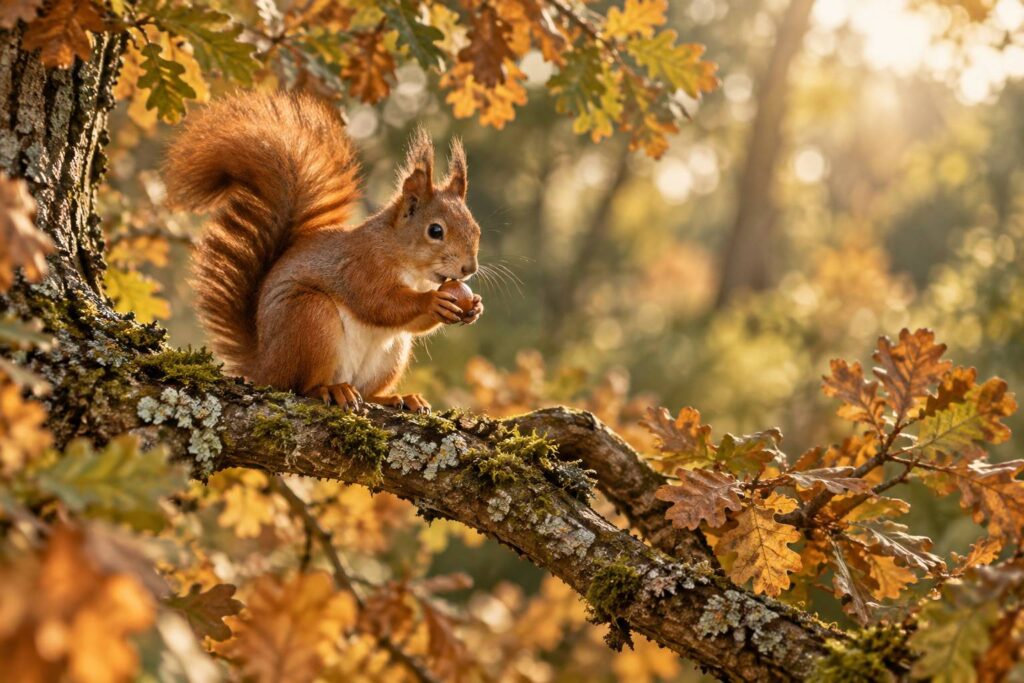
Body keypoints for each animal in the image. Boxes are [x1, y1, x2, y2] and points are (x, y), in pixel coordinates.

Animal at [163, 92, 483, 413]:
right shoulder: (362, 266)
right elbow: (379, 304)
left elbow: (409, 323)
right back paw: (332, 390)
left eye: (476, 228)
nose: (469, 269)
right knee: (302, 386)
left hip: (392, 353)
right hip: (310, 318)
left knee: (367, 391)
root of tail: (264, 367)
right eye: (435, 231)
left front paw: (475, 307)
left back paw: (398, 398)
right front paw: (433, 301)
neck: (408, 265)